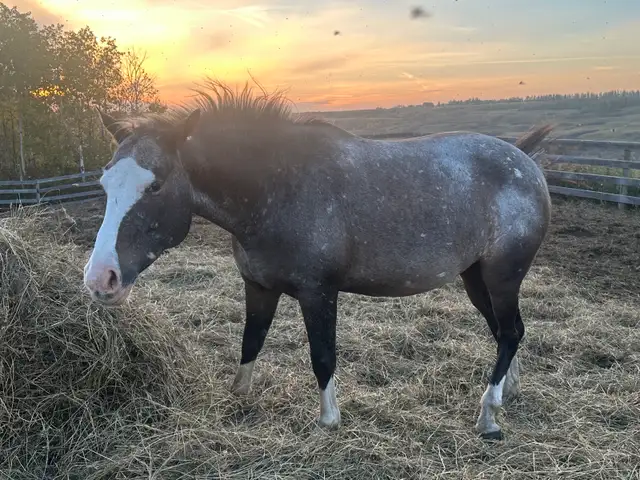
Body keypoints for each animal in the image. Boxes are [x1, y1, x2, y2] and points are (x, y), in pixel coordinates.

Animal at [83, 80, 552, 440]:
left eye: (155, 185)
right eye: (105, 181)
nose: (101, 279)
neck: (276, 189)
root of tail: (523, 159)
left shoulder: (318, 293)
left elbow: (322, 356)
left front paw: (329, 421)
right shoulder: (258, 287)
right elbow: (251, 342)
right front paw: (239, 397)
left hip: (503, 276)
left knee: (510, 332)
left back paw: (488, 416)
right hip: (477, 278)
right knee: (507, 332)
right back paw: (507, 394)